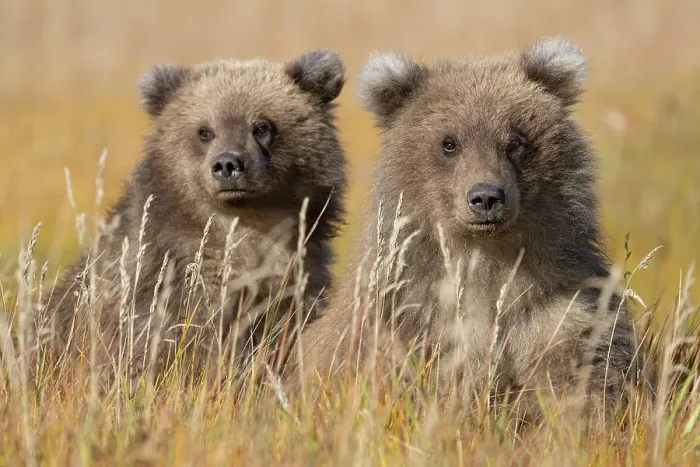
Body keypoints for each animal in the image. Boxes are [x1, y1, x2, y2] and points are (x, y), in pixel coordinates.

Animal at [288, 38, 635, 421]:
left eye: (516, 141)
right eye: (449, 142)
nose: (485, 197)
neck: (487, 261)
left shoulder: (561, 312)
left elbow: (580, 380)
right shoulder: (408, 321)